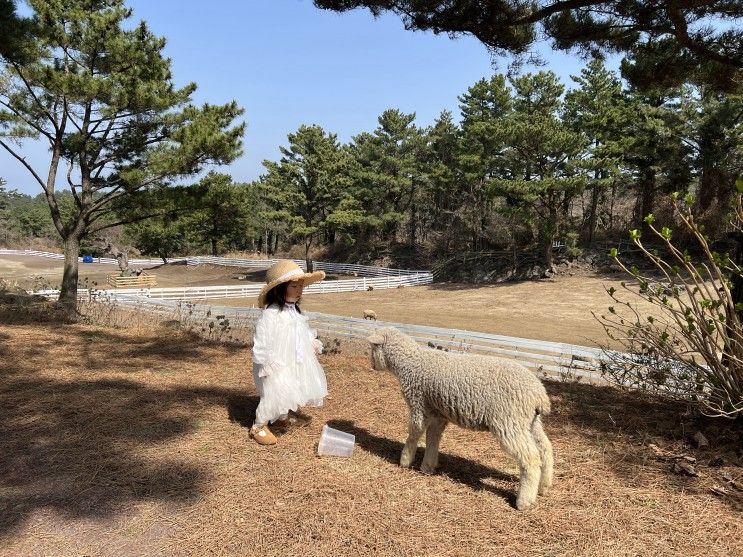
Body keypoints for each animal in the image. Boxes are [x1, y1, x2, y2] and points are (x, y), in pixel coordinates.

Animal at [370, 328, 556, 510]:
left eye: (372, 347)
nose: (371, 364)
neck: (409, 363)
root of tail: (540, 395)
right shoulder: (438, 414)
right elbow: (433, 439)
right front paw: (427, 467)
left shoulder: (418, 405)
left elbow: (414, 434)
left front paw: (405, 461)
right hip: (530, 422)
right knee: (545, 449)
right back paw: (544, 487)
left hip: (509, 421)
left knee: (531, 458)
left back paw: (524, 501)